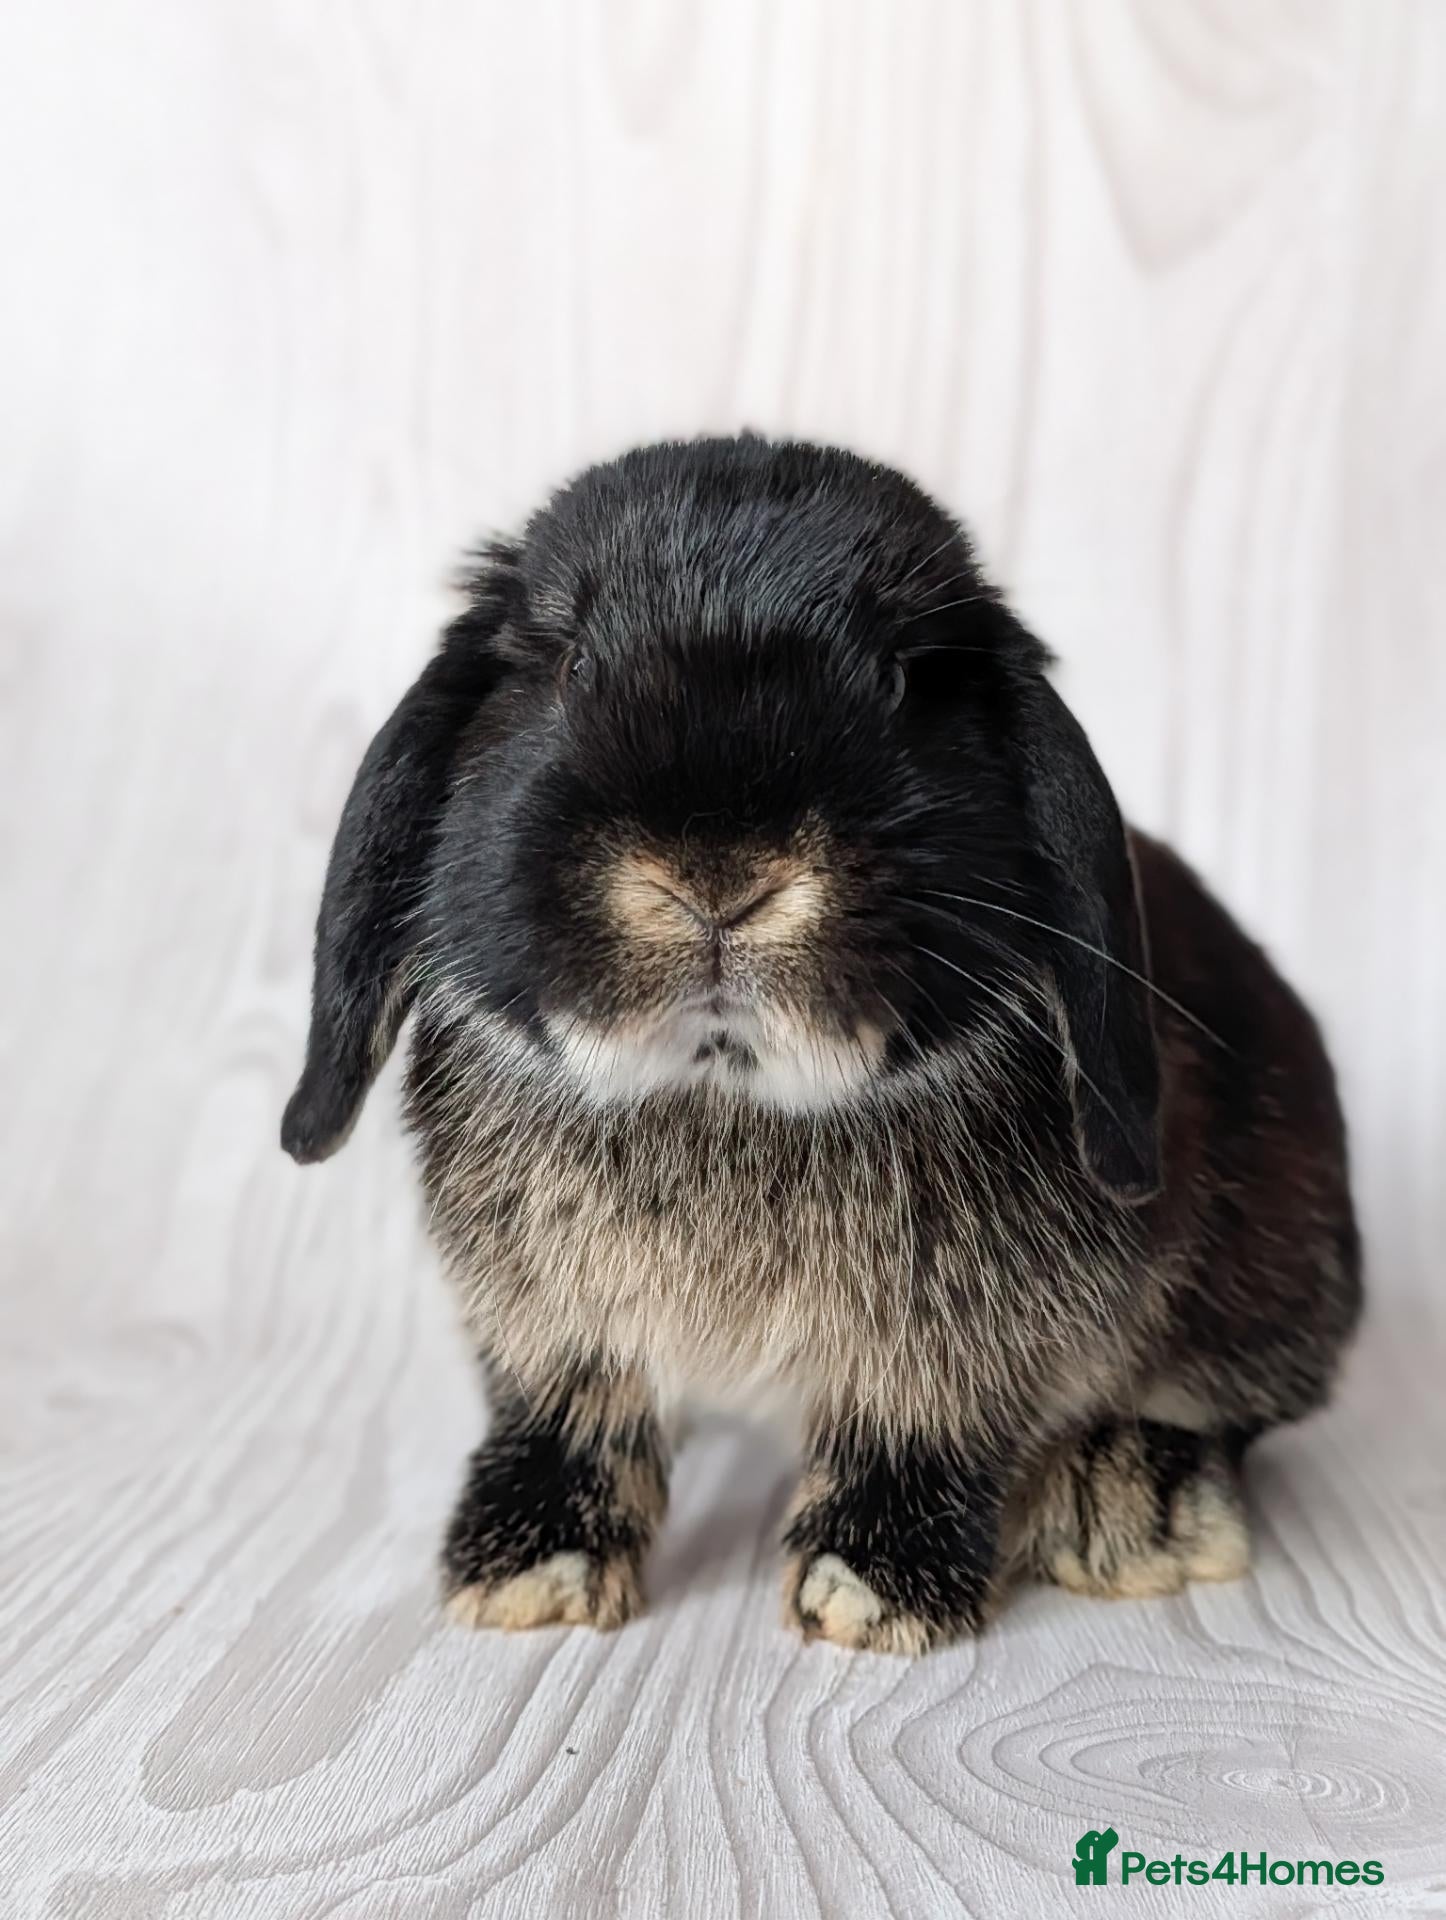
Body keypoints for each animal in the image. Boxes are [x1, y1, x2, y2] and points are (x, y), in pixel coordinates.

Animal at [282, 434, 1361, 1654]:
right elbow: (570, 1404)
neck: (725, 1095)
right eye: (567, 666)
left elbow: (921, 1414)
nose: (717, 876)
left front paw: (872, 1587)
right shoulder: (549, 1319)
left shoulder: (956, 1334)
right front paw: (531, 1569)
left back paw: (1131, 1506)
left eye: (899, 683)